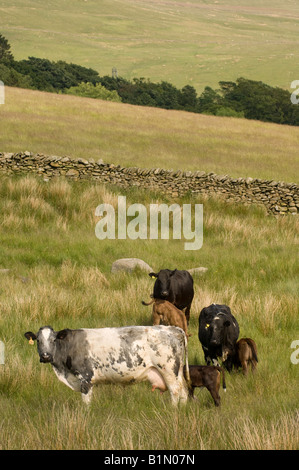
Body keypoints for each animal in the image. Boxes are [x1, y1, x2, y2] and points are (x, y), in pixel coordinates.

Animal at [24, 324, 191, 406]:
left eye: (53, 340)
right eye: (38, 340)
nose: (45, 356)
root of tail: (170, 328)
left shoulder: (85, 378)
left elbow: (86, 402)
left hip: (168, 370)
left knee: (175, 391)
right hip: (177, 372)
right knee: (183, 392)